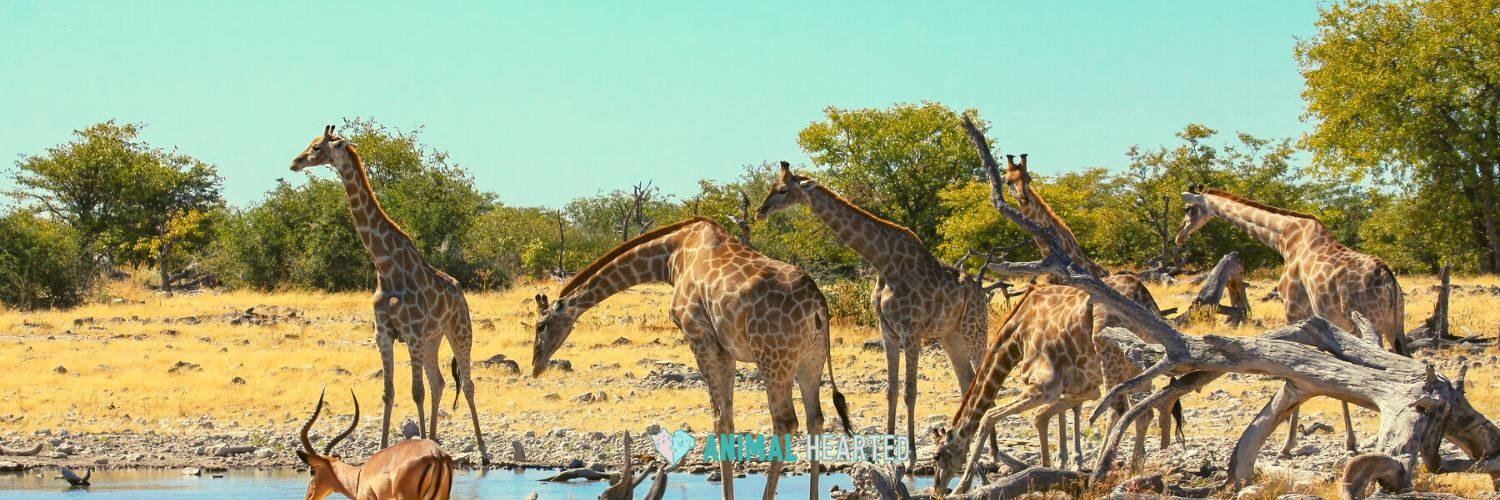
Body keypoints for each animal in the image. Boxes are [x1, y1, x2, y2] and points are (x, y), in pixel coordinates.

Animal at [289, 125, 488, 464]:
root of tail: (459, 291)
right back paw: (434, 439)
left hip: (459, 330)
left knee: (468, 384)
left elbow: (416, 392)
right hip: (433, 338)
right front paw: (382, 450)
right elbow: (389, 392)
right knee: (439, 382)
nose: (295, 162)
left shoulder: (411, 332)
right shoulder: (384, 333)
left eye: (317, 147)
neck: (384, 265)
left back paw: (483, 453)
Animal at [531, 217, 852, 500]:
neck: (671, 257)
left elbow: (719, 421)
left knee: (785, 422)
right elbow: (727, 419)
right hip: (811, 359)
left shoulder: (699, 335)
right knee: (815, 419)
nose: (536, 366)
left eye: (540, 325)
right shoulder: (725, 348)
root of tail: (819, 306)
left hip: (773, 357)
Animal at [757, 161, 989, 467]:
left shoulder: (911, 329)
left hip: (975, 329)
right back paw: (969, 445)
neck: (883, 262)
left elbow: (910, 392)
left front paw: (911, 457)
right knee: (966, 381)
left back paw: (990, 451)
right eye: (772, 186)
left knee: (983, 377)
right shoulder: (887, 330)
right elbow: (891, 391)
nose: (760, 210)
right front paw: (889, 452)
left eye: (783, 190)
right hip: (950, 336)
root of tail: (983, 293)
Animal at [1176, 187, 1406, 454]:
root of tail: (1389, 279)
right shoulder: (1325, 323)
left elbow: (1296, 373)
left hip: (1372, 323)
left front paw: (1287, 444)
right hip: (1395, 327)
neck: (1283, 239)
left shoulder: (1294, 311)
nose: (1179, 236)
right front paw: (1350, 441)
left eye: (1188, 209)